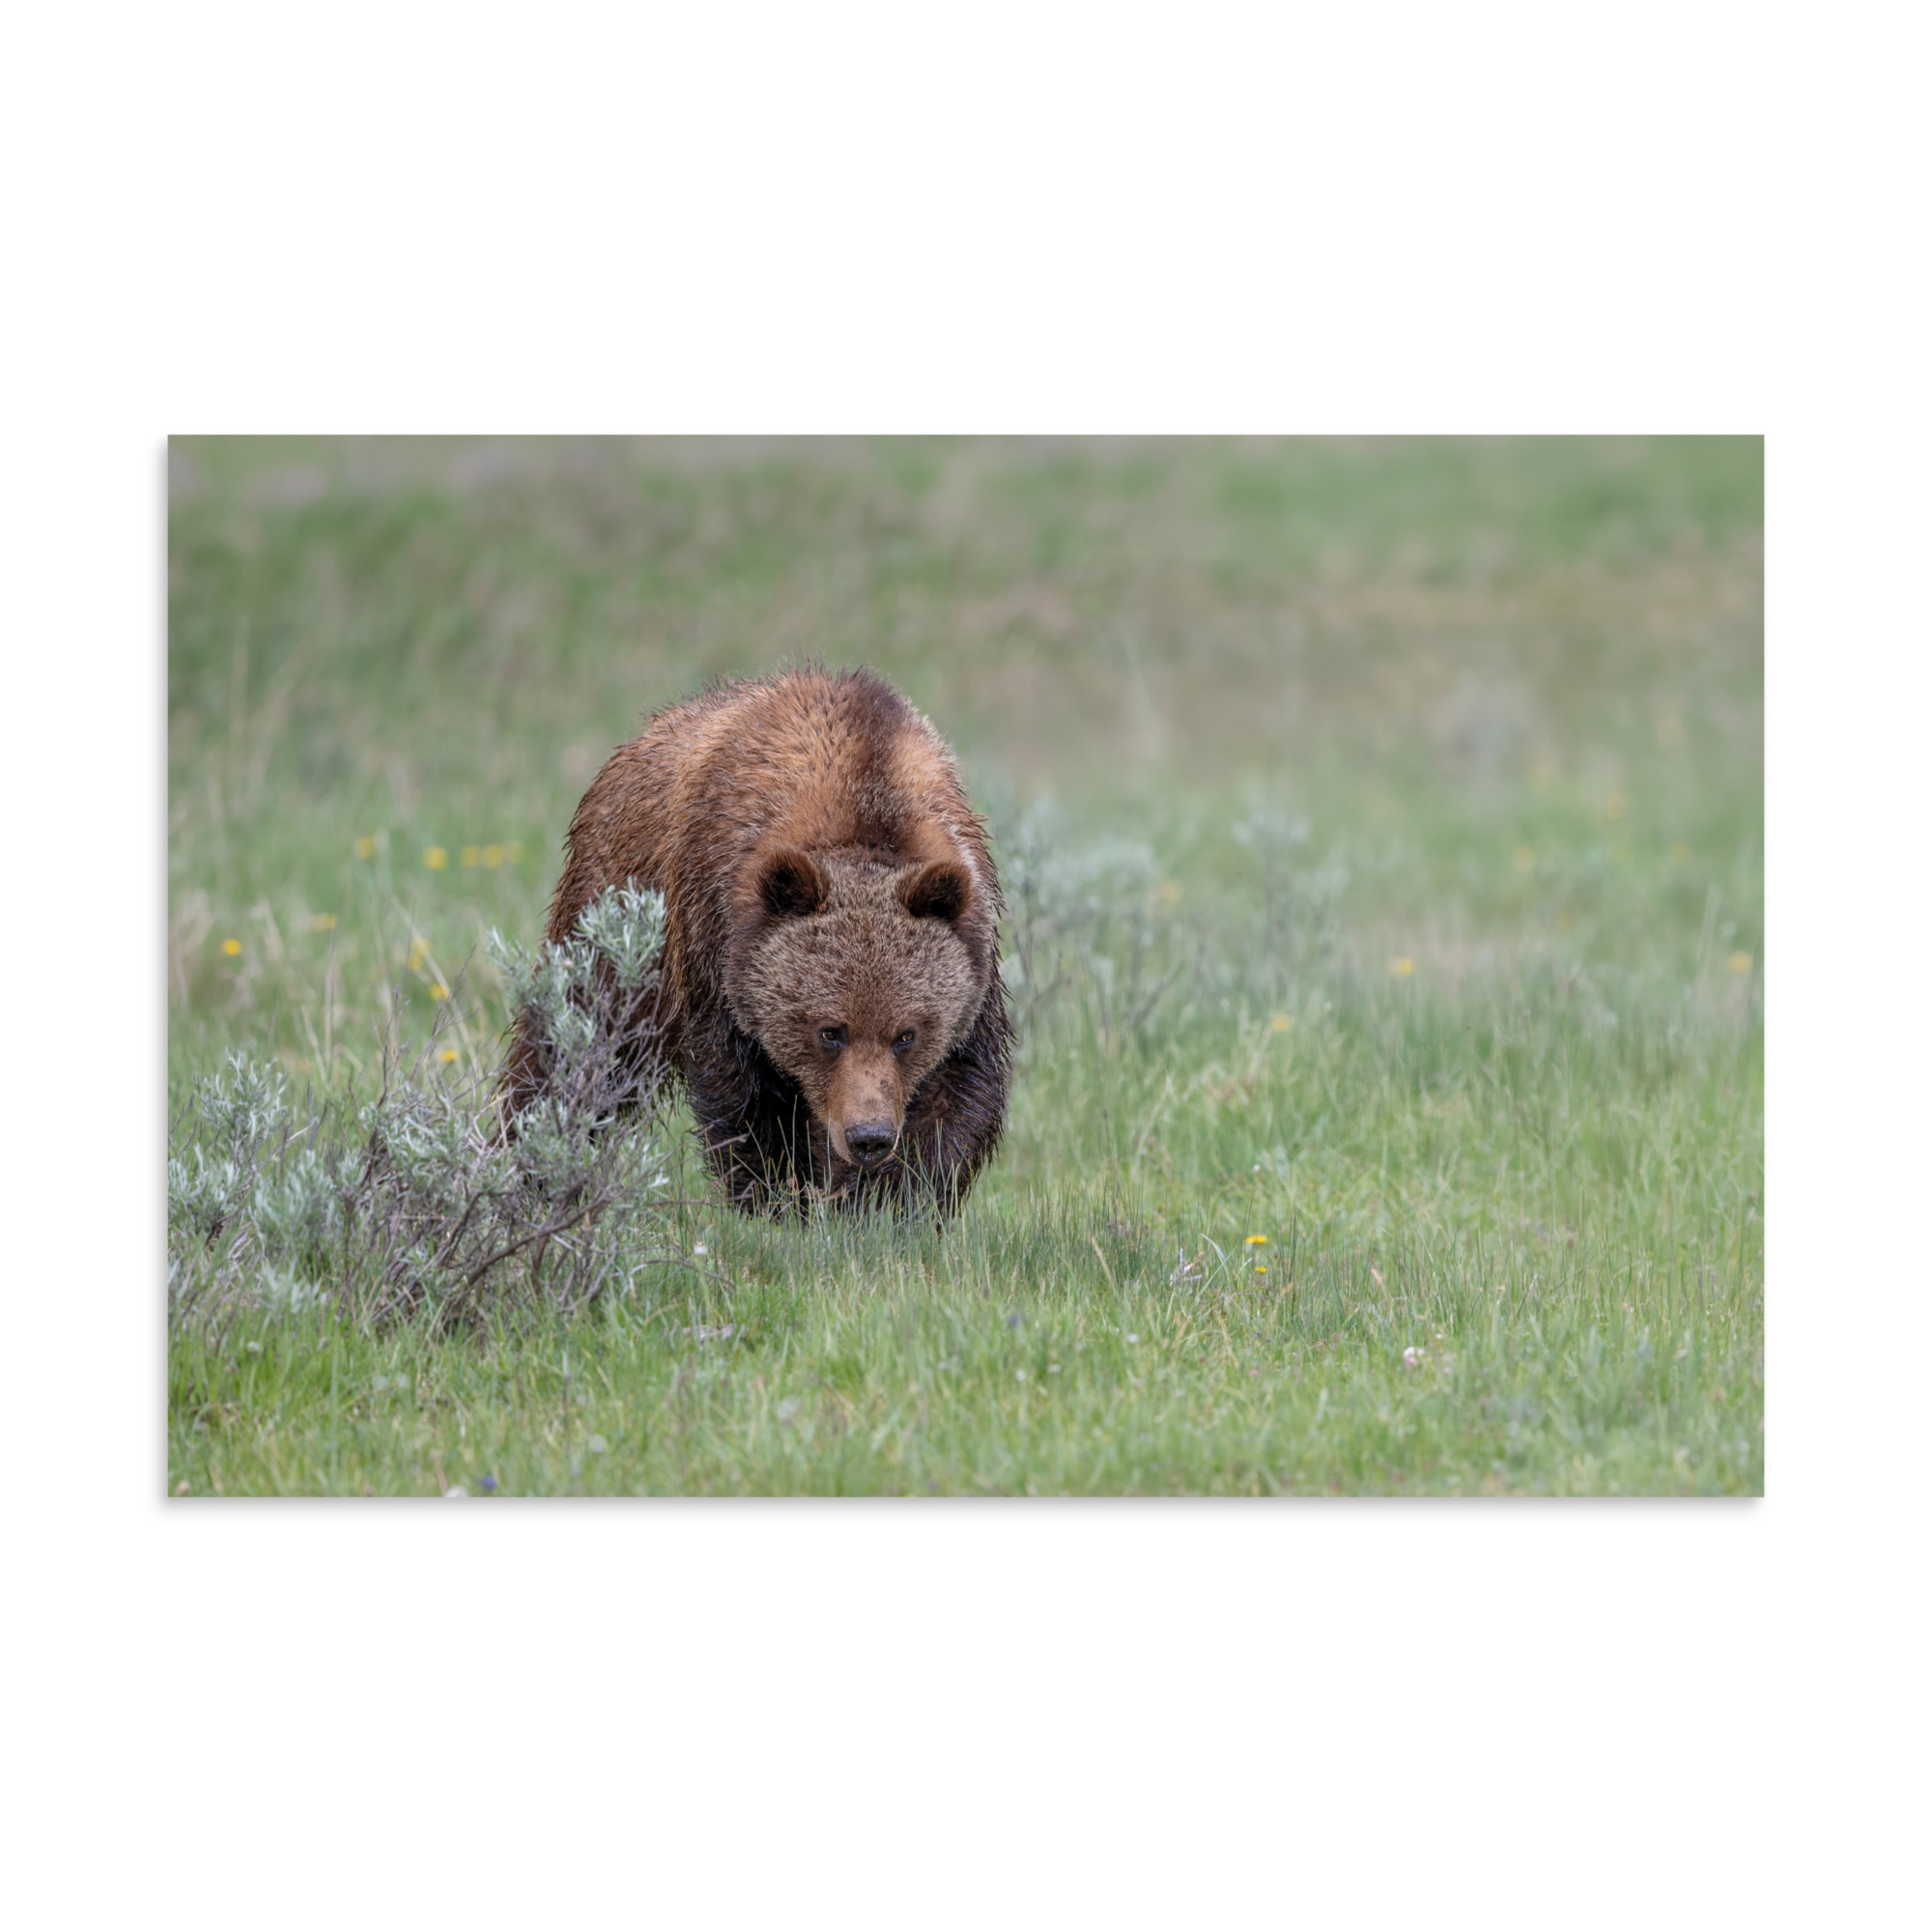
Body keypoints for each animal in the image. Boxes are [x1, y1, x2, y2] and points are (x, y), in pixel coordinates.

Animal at [501, 666, 1014, 1215]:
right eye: (829, 1031)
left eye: (907, 1034)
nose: (868, 1136)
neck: (865, 800)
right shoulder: (715, 941)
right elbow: (744, 1096)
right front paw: (778, 1197)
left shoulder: (973, 954)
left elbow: (957, 1094)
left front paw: (888, 1201)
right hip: (616, 916)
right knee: (576, 1043)